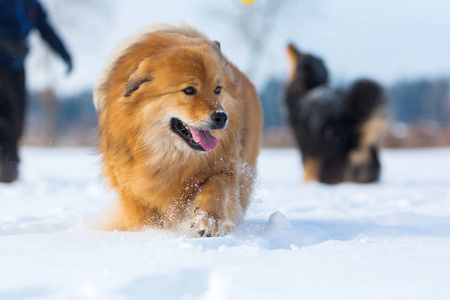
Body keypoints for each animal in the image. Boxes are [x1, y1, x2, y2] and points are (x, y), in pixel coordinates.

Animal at [284, 44, 386, 185]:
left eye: (301, 54)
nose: (290, 43)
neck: (311, 86)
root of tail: (356, 142)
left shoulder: (305, 144)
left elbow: (307, 168)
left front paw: (306, 183)